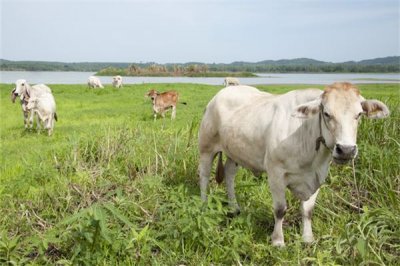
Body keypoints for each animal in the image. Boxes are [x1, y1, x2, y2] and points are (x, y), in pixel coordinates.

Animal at [198, 82, 390, 247]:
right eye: (327, 114)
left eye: (359, 115)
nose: (346, 150)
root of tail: (224, 92)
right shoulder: (275, 173)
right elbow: (280, 209)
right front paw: (277, 241)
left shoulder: (318, 175)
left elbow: (308, 210)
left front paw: (308, 238)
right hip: (206, 147)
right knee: (204, 176)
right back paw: (204, 204)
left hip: (234, 152)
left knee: (229, 174)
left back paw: (234, 207)